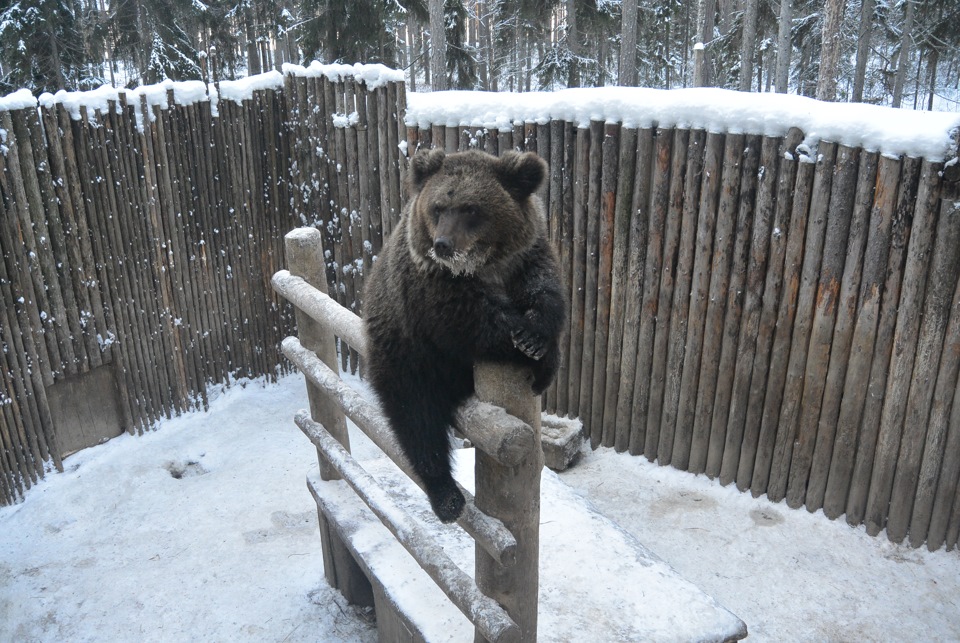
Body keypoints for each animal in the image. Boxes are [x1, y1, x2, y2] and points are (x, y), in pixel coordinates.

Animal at [364, 150, 568, 524]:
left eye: (471, 208)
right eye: (438, 208)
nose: (443, 244)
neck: (483, 267)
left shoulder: (527, 259)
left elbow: (546, 292)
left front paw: (537, 342)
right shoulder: (432, 290)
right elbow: (474, 324)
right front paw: (526, 347)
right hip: (406, 356)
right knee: (417, 420)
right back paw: (446, 496)